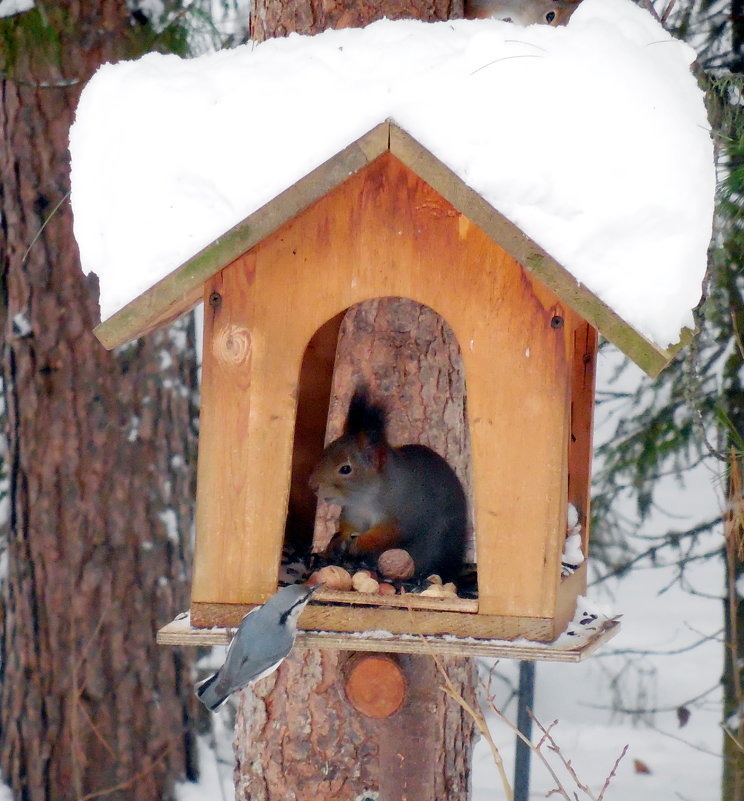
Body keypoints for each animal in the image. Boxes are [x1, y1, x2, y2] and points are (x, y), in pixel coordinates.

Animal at [308, 386, 464, 580]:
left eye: (345, 469)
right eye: (326, 450)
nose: (312, 485)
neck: (366, 500)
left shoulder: (400, 516)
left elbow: (385, 535)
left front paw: (360, 543)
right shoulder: (353, 513)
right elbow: (349, 527)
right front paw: (339, 539)